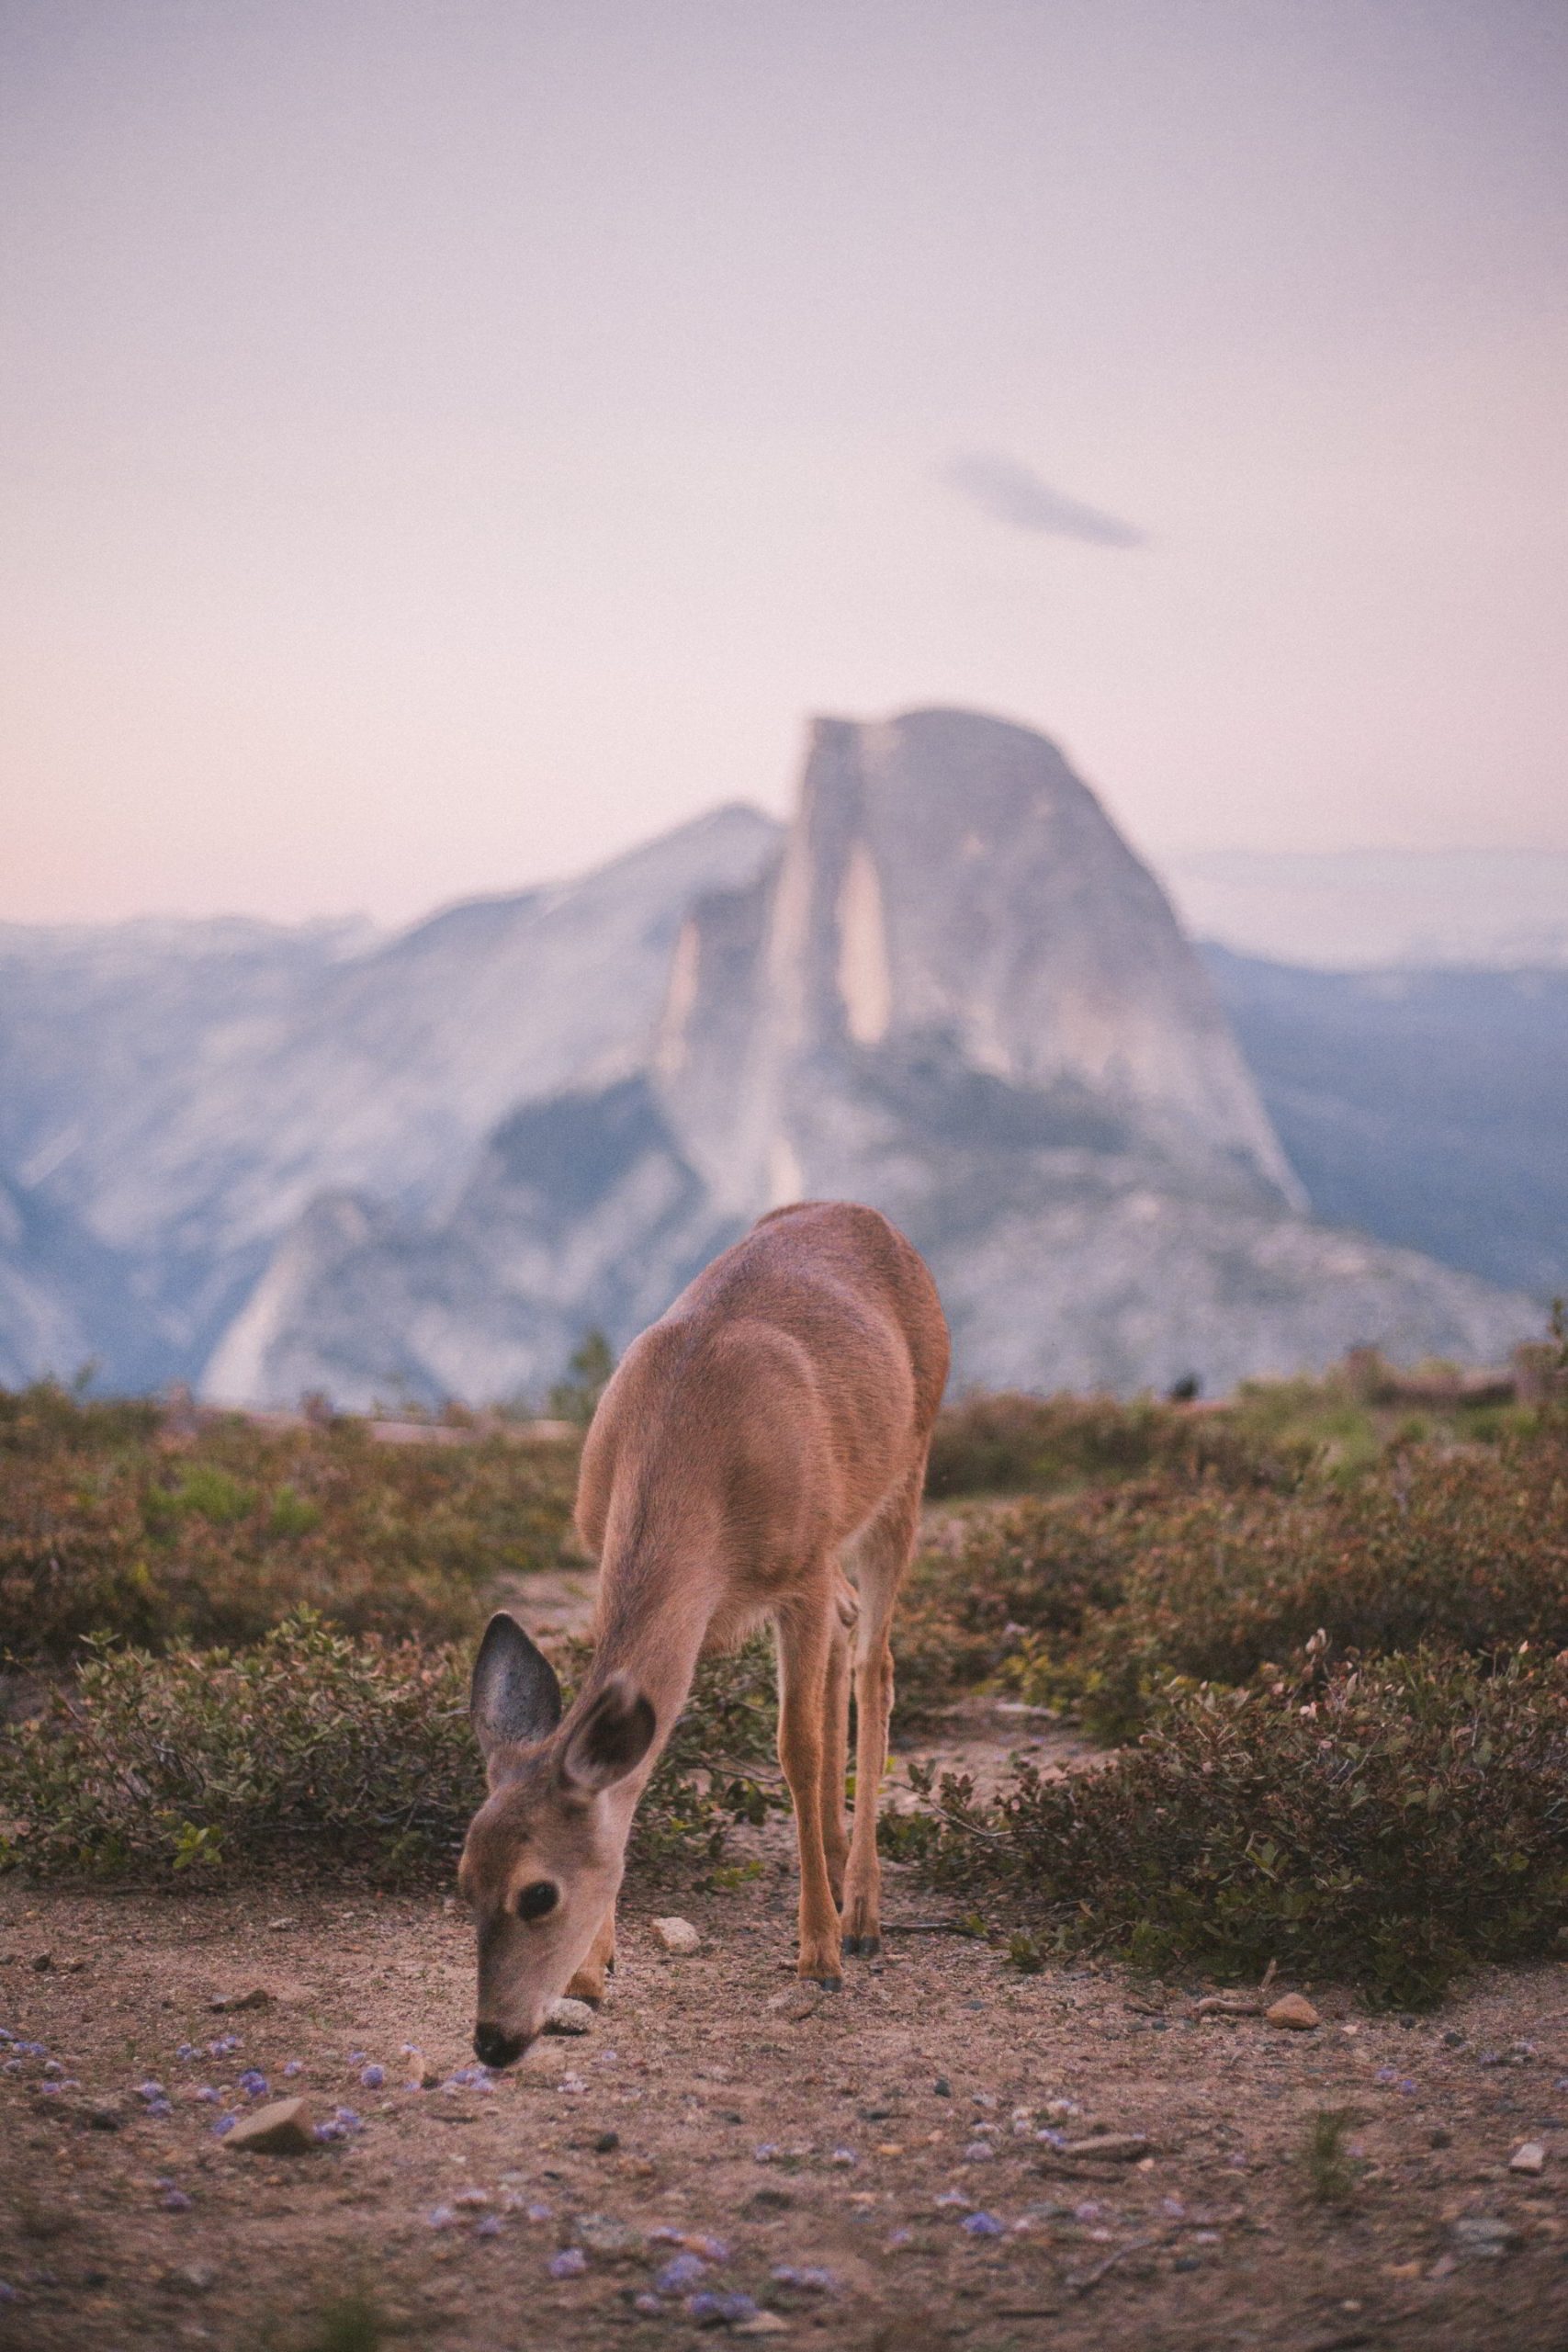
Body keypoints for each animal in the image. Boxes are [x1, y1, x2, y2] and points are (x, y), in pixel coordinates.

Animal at [453, 1204, 944, 2069]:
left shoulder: (799, 1568)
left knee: (873, 1665)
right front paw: (592, 1973)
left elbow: (796, 1747)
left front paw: (817, 1956)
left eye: (538, 1893)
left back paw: (859, 1912)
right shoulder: (603, 1550)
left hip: (904, 1472)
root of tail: (871, 1217)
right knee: (849, 1630)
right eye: (461, 1880)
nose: (492, 2042)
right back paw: (834, 1849)